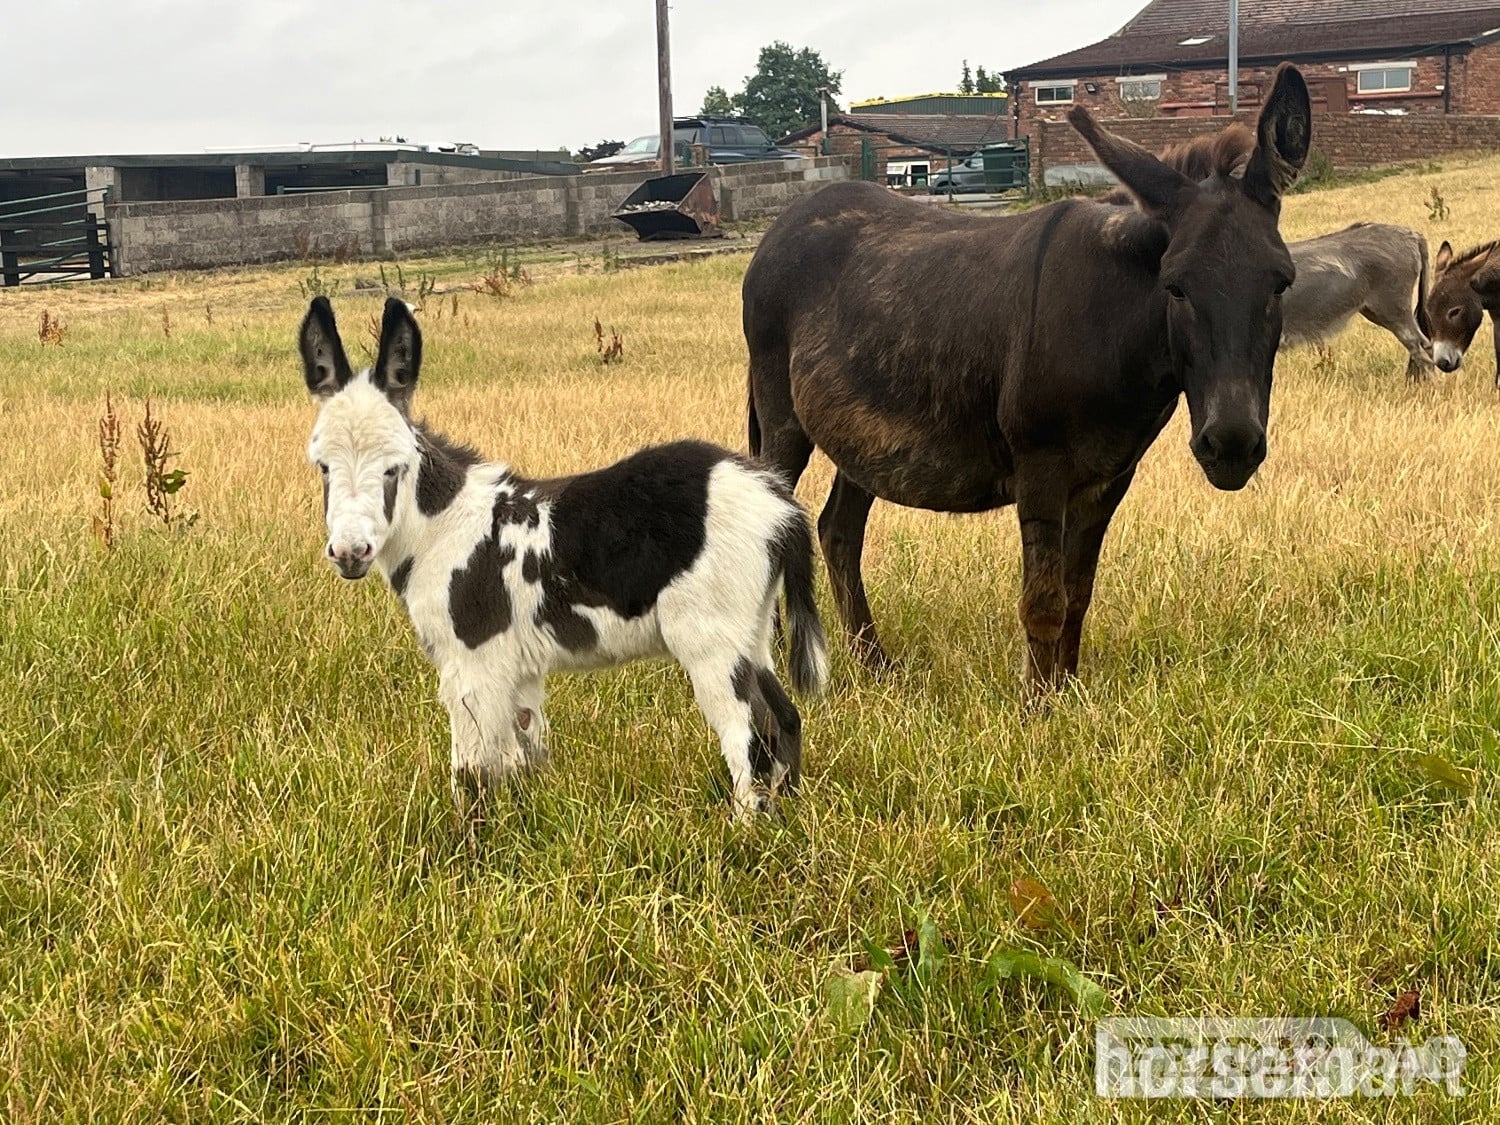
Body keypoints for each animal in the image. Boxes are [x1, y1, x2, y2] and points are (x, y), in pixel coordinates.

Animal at [299, 296, 828, 822]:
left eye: (395, 468)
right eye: (322, 467)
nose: (350, 552)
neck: (443, 528)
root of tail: (778, 502)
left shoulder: (472, 662)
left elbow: (471, 773)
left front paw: (468, 841)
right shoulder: (517, 669)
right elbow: (525, 756)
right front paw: (531, 825)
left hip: (709, 638)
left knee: (748, 733)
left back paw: (746, 829)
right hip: (752, 629)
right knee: (785, 719)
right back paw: (789, 819)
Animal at [742, 63, 1312, 690]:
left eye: (1282, 283)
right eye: (1176, 287)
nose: (1231, 445)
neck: (1113, 322)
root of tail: (785, 222)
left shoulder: (1109, 477)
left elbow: (1078, 593)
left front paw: (1068, 695)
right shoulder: (1040, 466)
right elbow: (1043, 603)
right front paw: (1036, 706)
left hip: (863, 434)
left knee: (839, 530)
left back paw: (876, 665)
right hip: (784, 418)